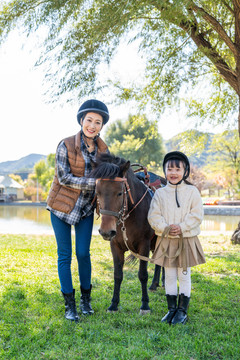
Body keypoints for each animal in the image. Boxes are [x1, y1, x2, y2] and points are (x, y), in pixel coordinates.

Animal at [90, 152, 167, 312]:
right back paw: (155, 284)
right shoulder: (115, 246)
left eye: (120, 193)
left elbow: (143, 275)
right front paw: (114, 304)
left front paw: (145, 304)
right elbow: (117, 275)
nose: (106, 231)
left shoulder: (144, 245)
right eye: (97, 192)